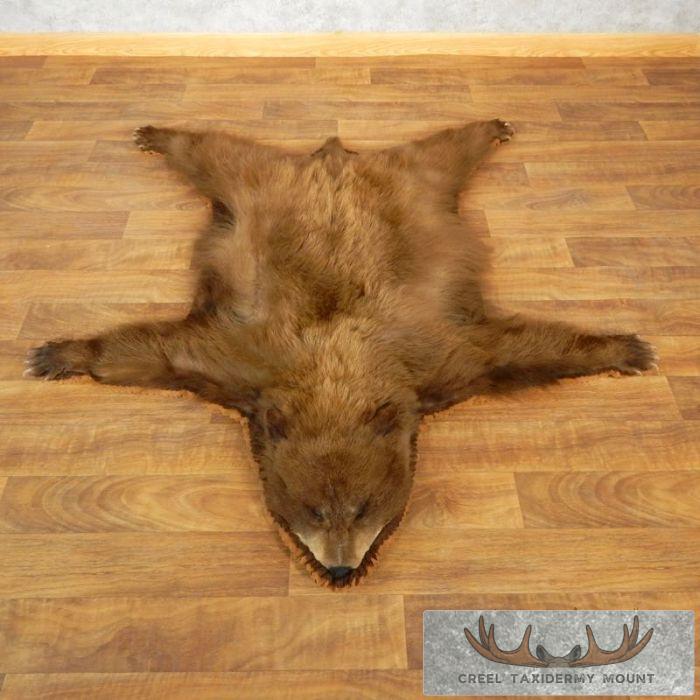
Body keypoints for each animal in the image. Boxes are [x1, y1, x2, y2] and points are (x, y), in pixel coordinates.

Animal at [24, 120, 657, 588]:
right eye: (308, 509)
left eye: (362, 507)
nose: (339, 568)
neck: (336, 372)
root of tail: (334, 157)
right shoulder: (237, 359)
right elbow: (151, 350)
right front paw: (59, 352)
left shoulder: (440, 356)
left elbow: (523, 349)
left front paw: (625, 346)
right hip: (263, 185)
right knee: (216, 154)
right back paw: (156, 133)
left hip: (411, 183)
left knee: (443, 150)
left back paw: (493, 126)